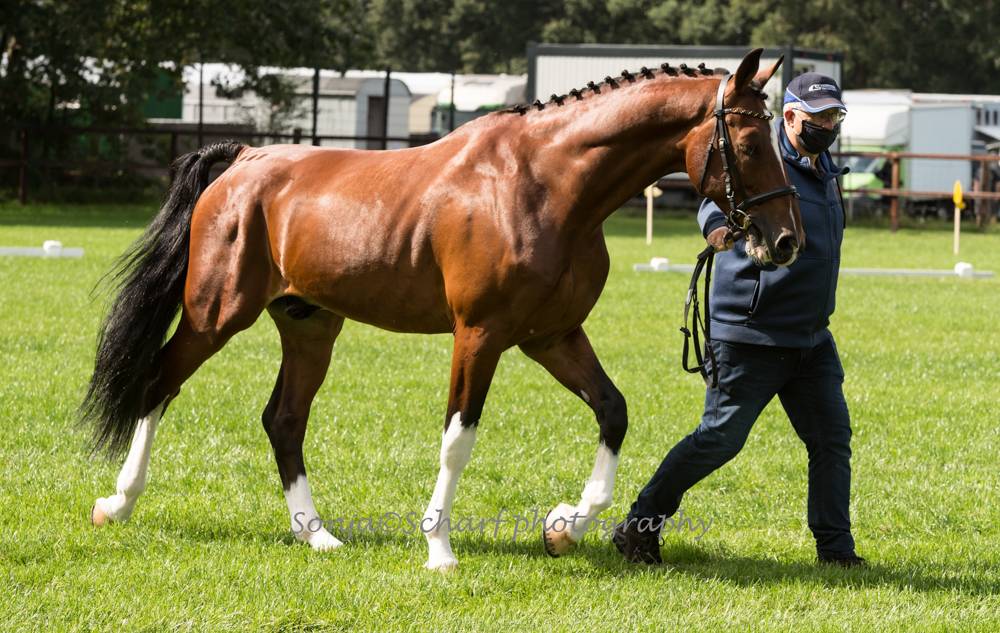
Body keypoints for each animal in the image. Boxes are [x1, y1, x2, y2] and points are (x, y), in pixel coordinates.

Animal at [82, 48, 803, 571]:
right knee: (158, 384)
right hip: (216, 314)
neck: (546, 185)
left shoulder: (552, 335)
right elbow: (459, 438)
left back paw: (318, 536)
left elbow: (613, 411)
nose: (785, 241)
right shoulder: (479, 334)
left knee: (283, 420)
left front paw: (564, 527)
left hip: (309, 324)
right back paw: (117, 503)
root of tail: (243, 159)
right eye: (748, 143)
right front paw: (439, 549)